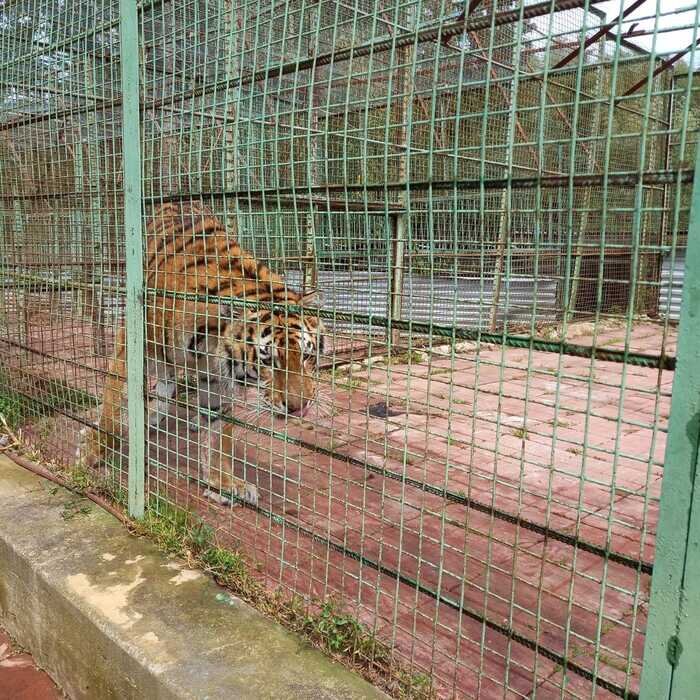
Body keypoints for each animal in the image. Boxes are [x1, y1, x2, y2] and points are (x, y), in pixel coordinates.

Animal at [78, 200, 324, 506]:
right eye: (268, 360)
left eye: (306, 356)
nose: (299, 408)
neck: (211, 341)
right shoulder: (132, 341)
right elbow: (112, 406)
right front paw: (92, 454)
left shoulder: (218, 378)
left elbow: (219, 432)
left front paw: (224, 482)